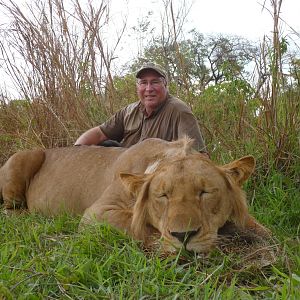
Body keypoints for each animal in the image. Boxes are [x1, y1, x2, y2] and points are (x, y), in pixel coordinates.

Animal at [0, 138, 270, 253]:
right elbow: (135, 225)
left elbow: (261, 228)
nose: (184, 236)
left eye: (204, 192)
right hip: (26, 156)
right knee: (9, 210)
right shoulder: (96, 213)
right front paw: (166, 244)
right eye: (163, 195)